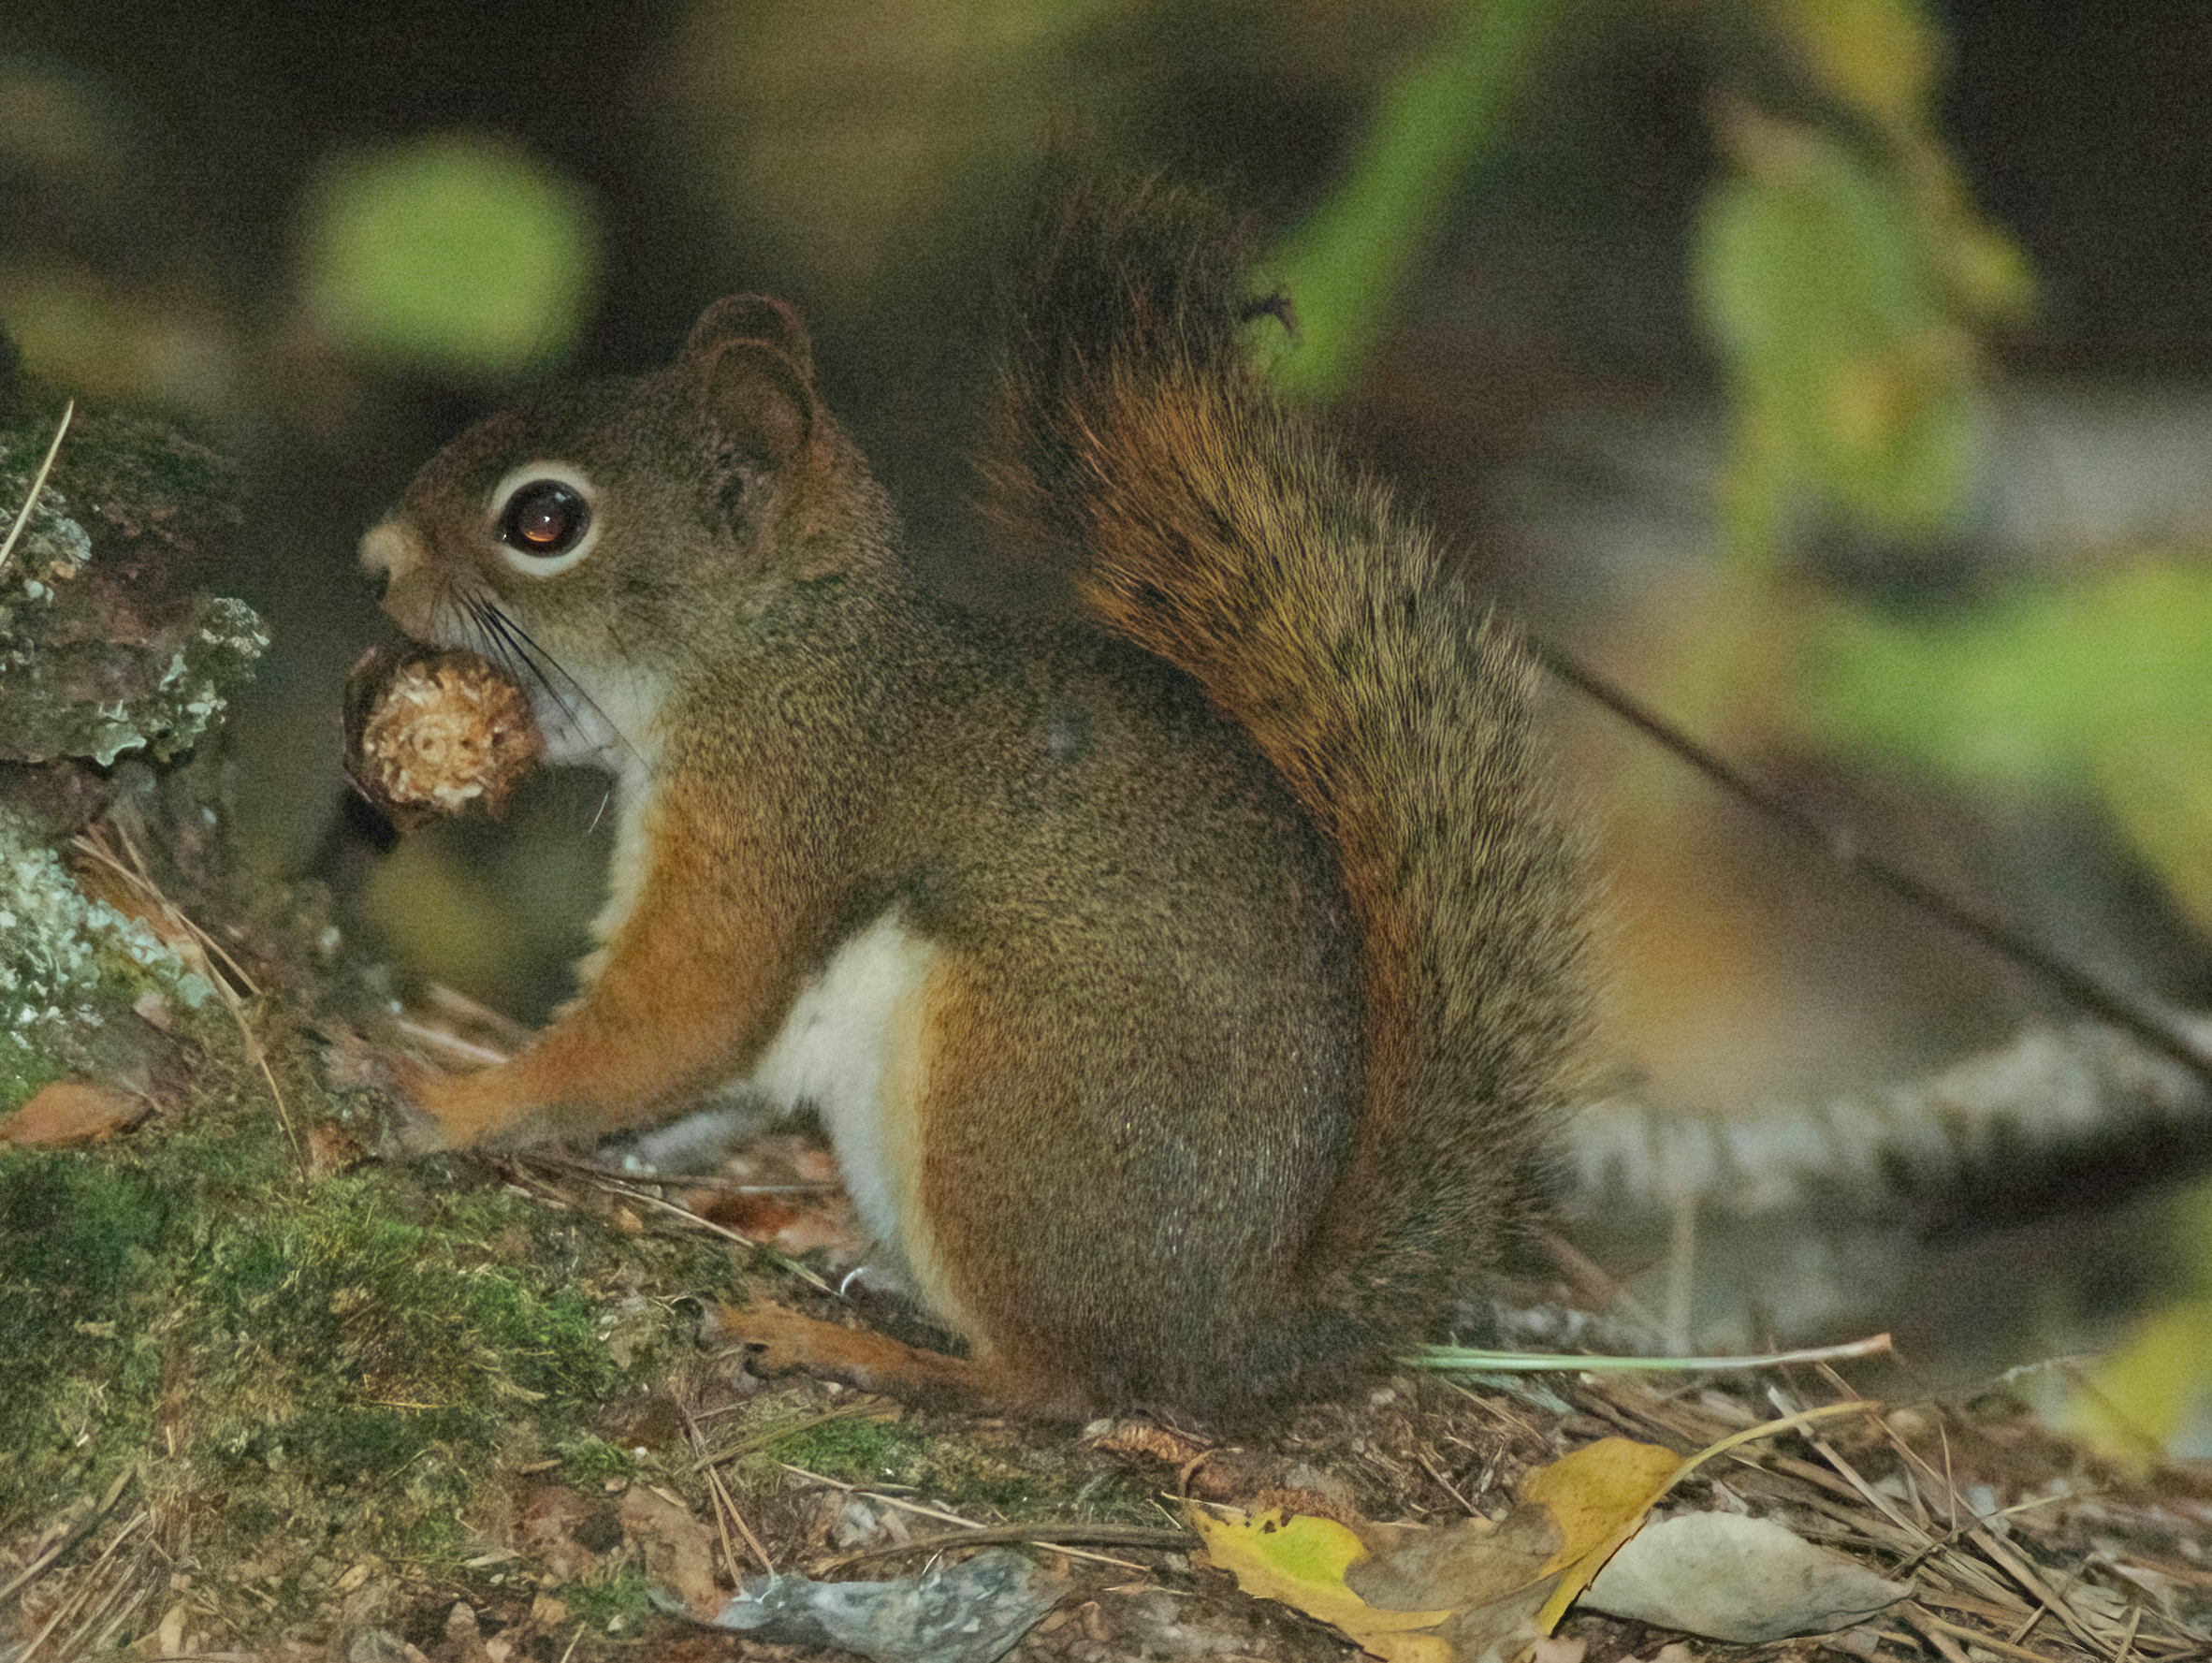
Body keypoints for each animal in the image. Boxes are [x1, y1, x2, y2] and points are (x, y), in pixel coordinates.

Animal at [359, 181, 1592, 1424]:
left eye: (545, 520)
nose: (375, 559)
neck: (776, 660)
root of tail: (1236, 1331)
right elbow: (714, 1073)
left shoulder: (776, 817)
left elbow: (673, 1024)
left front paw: (453, 1106)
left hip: (1003, 1086)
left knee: (1058, 1380)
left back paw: (855, 1345)